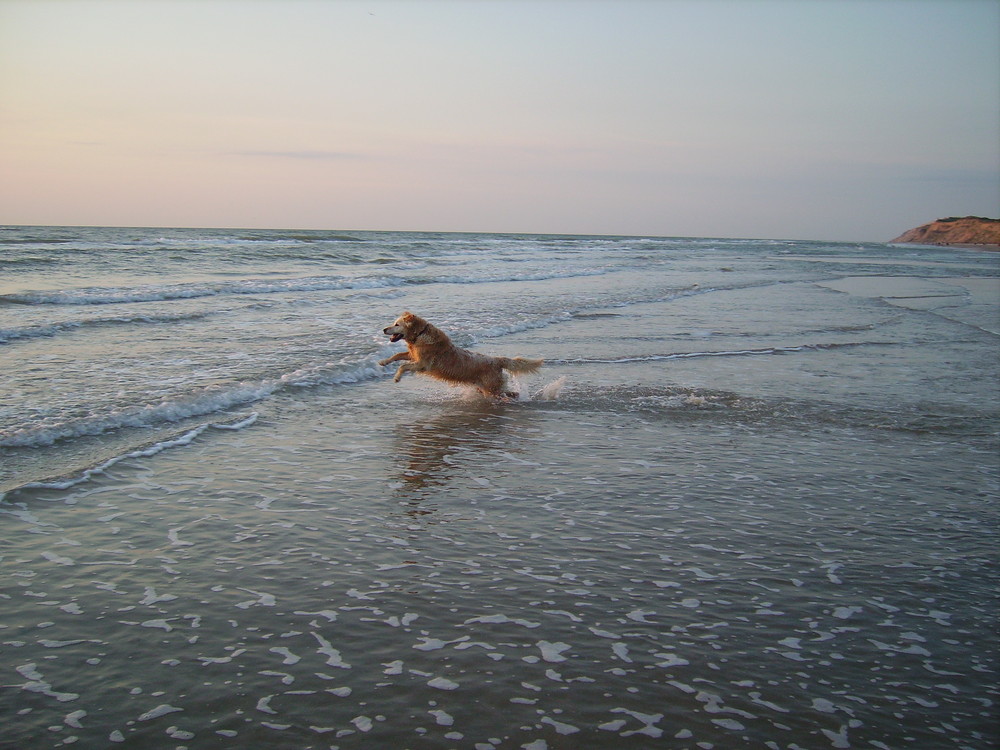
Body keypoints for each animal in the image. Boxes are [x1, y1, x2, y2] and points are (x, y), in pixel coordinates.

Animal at [376, 312, 548, 400]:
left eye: (396, 324)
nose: (384, 329)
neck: (420, 335)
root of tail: (497, 360)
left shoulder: (422, 363)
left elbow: (403, 365)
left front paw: (397, 377)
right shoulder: (414, 355)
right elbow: (398, 355)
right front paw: (383, 362)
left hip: (492, 388)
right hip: (487, 387)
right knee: (508, 392)